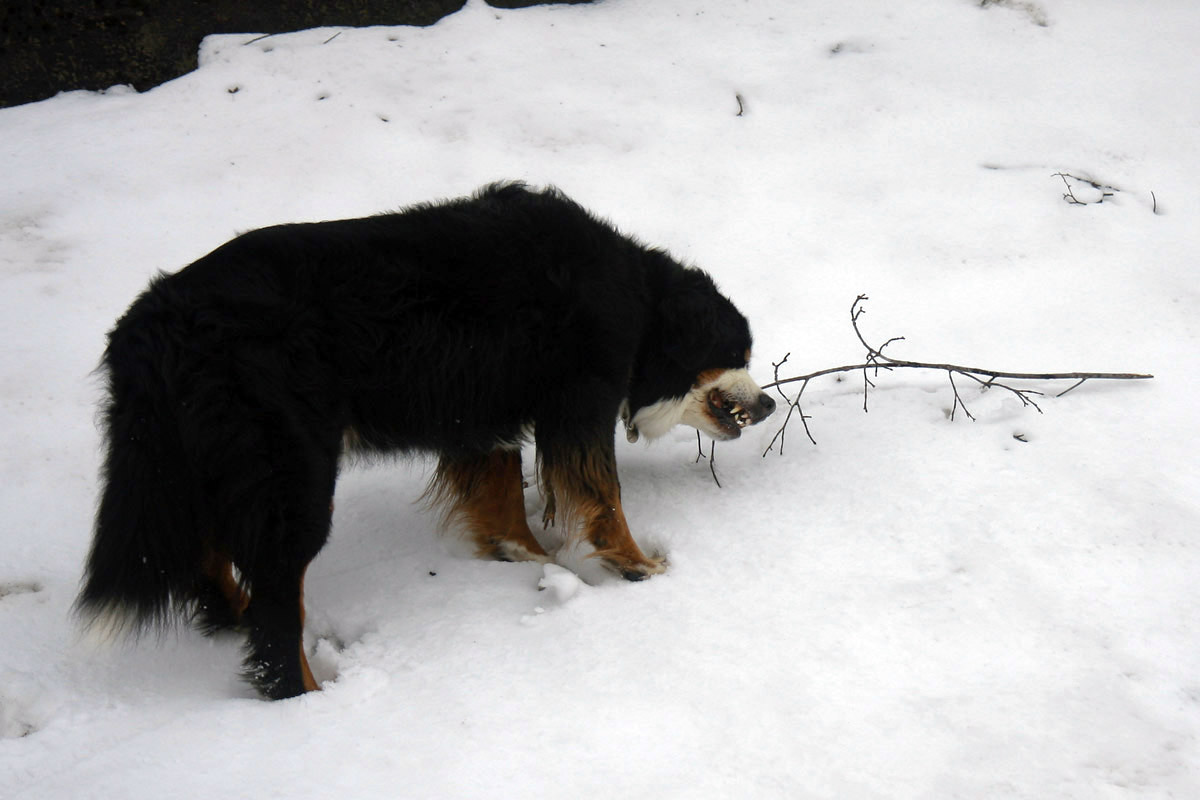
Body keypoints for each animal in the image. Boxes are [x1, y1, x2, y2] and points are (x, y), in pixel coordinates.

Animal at [75, 184, 772, 695]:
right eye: (736, 352)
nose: (767, 404)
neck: (640, 298)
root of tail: (148, 329)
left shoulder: (481, 413)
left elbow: (500, 494)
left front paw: (524, 556)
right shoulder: (580, 403)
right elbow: (603, 496)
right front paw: (640, 567)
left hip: (206, 460)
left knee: (209, 553)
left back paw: (232, 616)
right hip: (289, 471)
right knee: (277, 603)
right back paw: (307, 696)